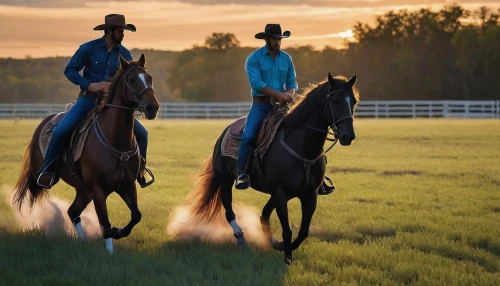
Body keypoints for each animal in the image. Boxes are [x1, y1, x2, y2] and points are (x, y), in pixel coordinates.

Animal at [11, 53, 159, 252]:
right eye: (132, 79)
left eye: (149, 78)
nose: (152, 107)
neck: (115, 140)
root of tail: (46, 121)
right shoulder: (98, 188)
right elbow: (105, 223)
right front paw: (111, 247)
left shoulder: (127, 185)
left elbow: (136, 215)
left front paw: (119, 233)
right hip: (42, 177)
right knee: (39, 196)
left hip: (83, 190)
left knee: (73, 211)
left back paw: (83, 240)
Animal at [190, 73, 360, 264]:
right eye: (336, 101)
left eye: (353, 101)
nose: (348, 136)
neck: (302, 148)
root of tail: (224, 133)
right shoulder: (280, 193)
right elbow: (287, 230)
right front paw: (287, 257)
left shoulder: (310, 194)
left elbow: (303, 232)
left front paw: (281, 246)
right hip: (225, 181)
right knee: (230, 212)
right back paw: (241, 239)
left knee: (264, 214)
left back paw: (269, 240)